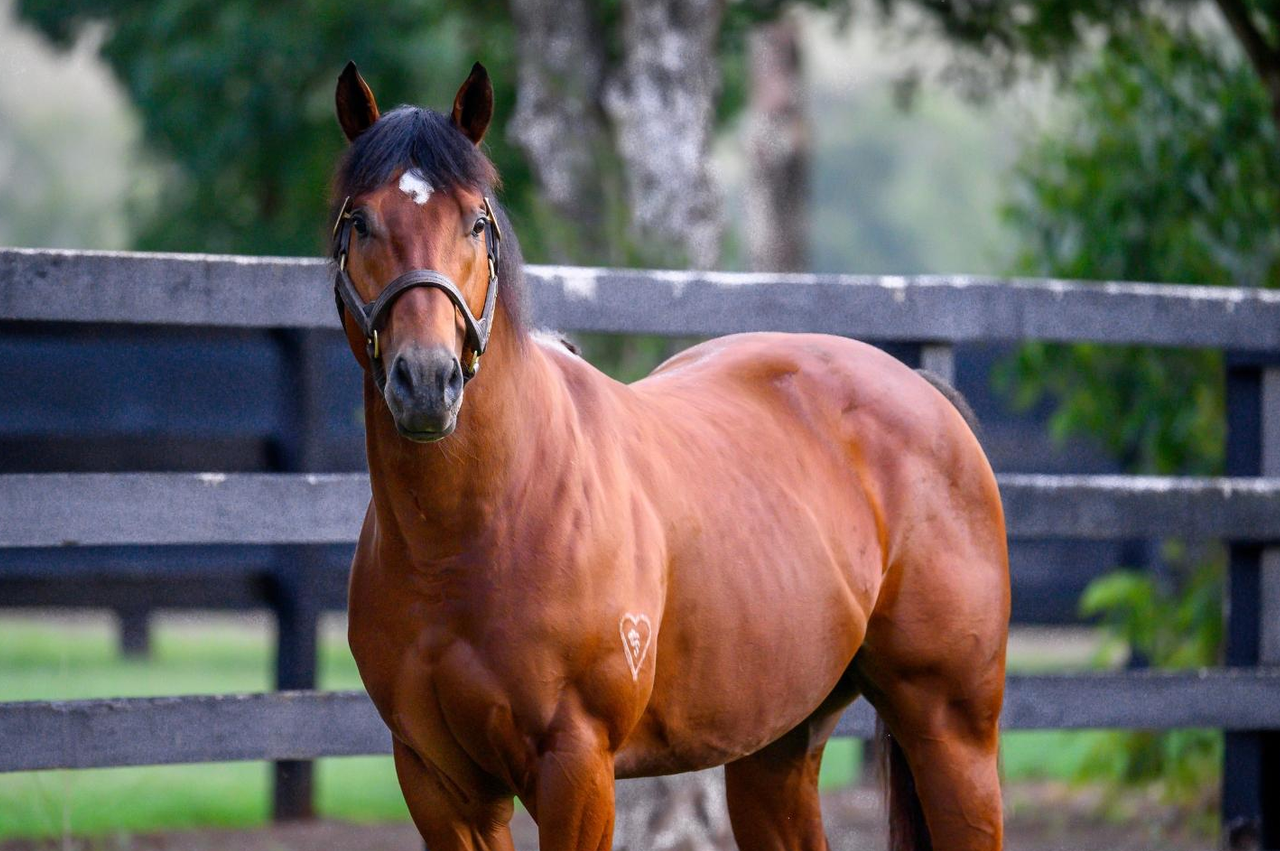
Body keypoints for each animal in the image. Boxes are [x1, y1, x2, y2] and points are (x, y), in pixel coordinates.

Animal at [332, 61, 1009, 851]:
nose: (426, 380)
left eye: (476, 220)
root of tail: (924, 392)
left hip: (952, 733)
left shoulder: (578, 768)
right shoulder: (440, 786)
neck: (475, 529)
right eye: (360, 221)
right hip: (776, 747)